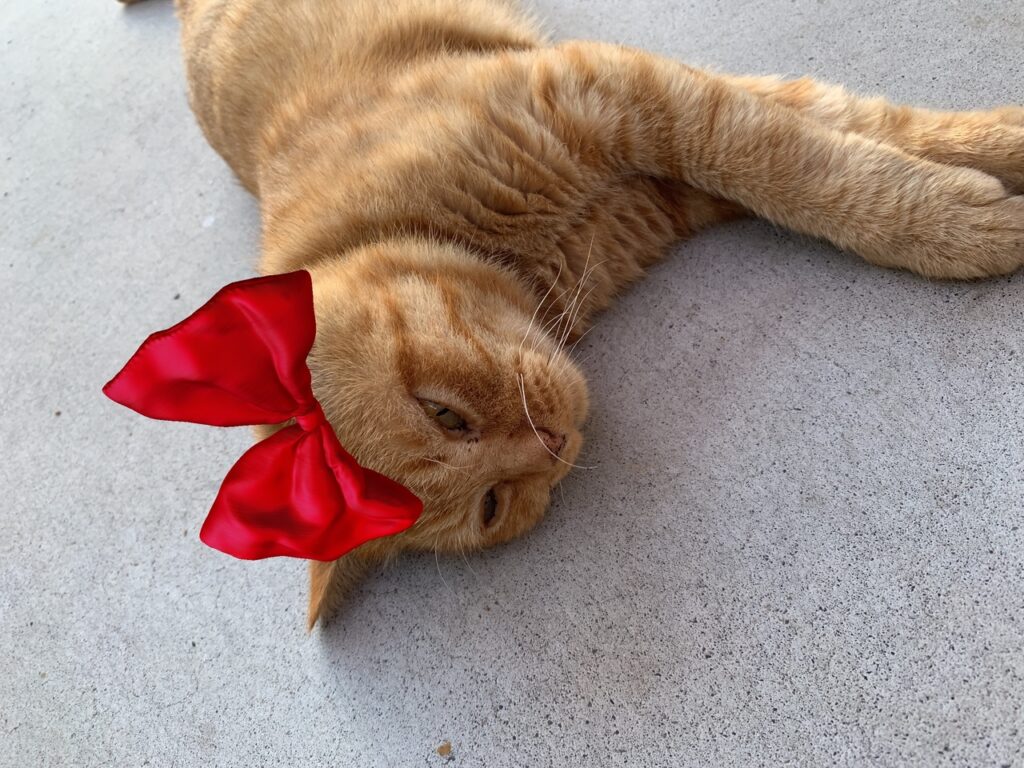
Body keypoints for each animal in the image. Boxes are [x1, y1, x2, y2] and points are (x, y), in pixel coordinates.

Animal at [126, 0, 1024, 627]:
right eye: (493, 505)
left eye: (442, 413)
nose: (550, 445)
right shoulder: (666, 170)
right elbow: (823, 144)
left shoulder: (622, 95)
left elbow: (821, 153)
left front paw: (970, 196)